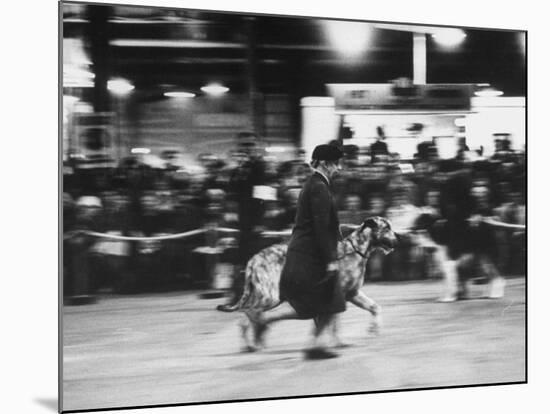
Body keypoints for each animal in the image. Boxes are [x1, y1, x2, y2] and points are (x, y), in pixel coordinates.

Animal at [218, 217, 398, 350]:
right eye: (386, 228)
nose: (398, 240)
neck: (355, 249)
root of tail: (253, 259)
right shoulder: (339, 297)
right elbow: (334, 324)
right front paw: (338, 343)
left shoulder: (353, 294)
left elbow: (374, 307)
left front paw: (374, 328)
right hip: (270, 296)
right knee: (250, 314)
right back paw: (254, 342)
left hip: (267, 296)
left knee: (248, 317)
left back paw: (253, 342)